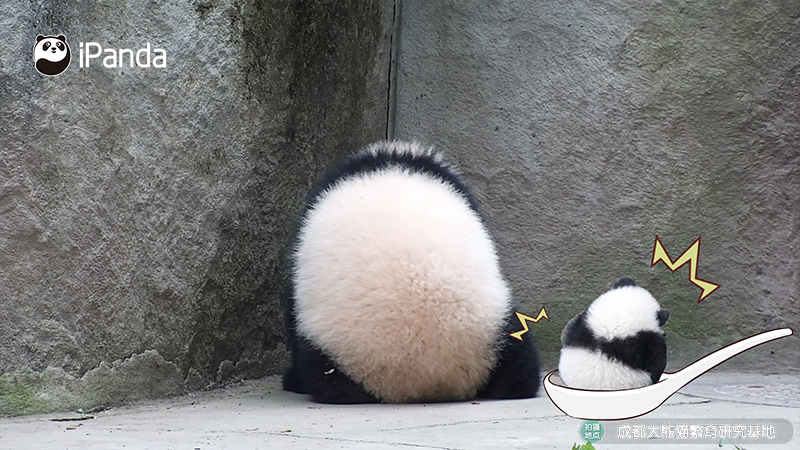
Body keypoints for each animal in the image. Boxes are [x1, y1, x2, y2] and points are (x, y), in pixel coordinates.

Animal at [283, 141, 541, 403]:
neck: (394, 162)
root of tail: (428, 378)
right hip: (499, 330)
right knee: (521, 369)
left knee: (322, 379)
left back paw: (295, 380)